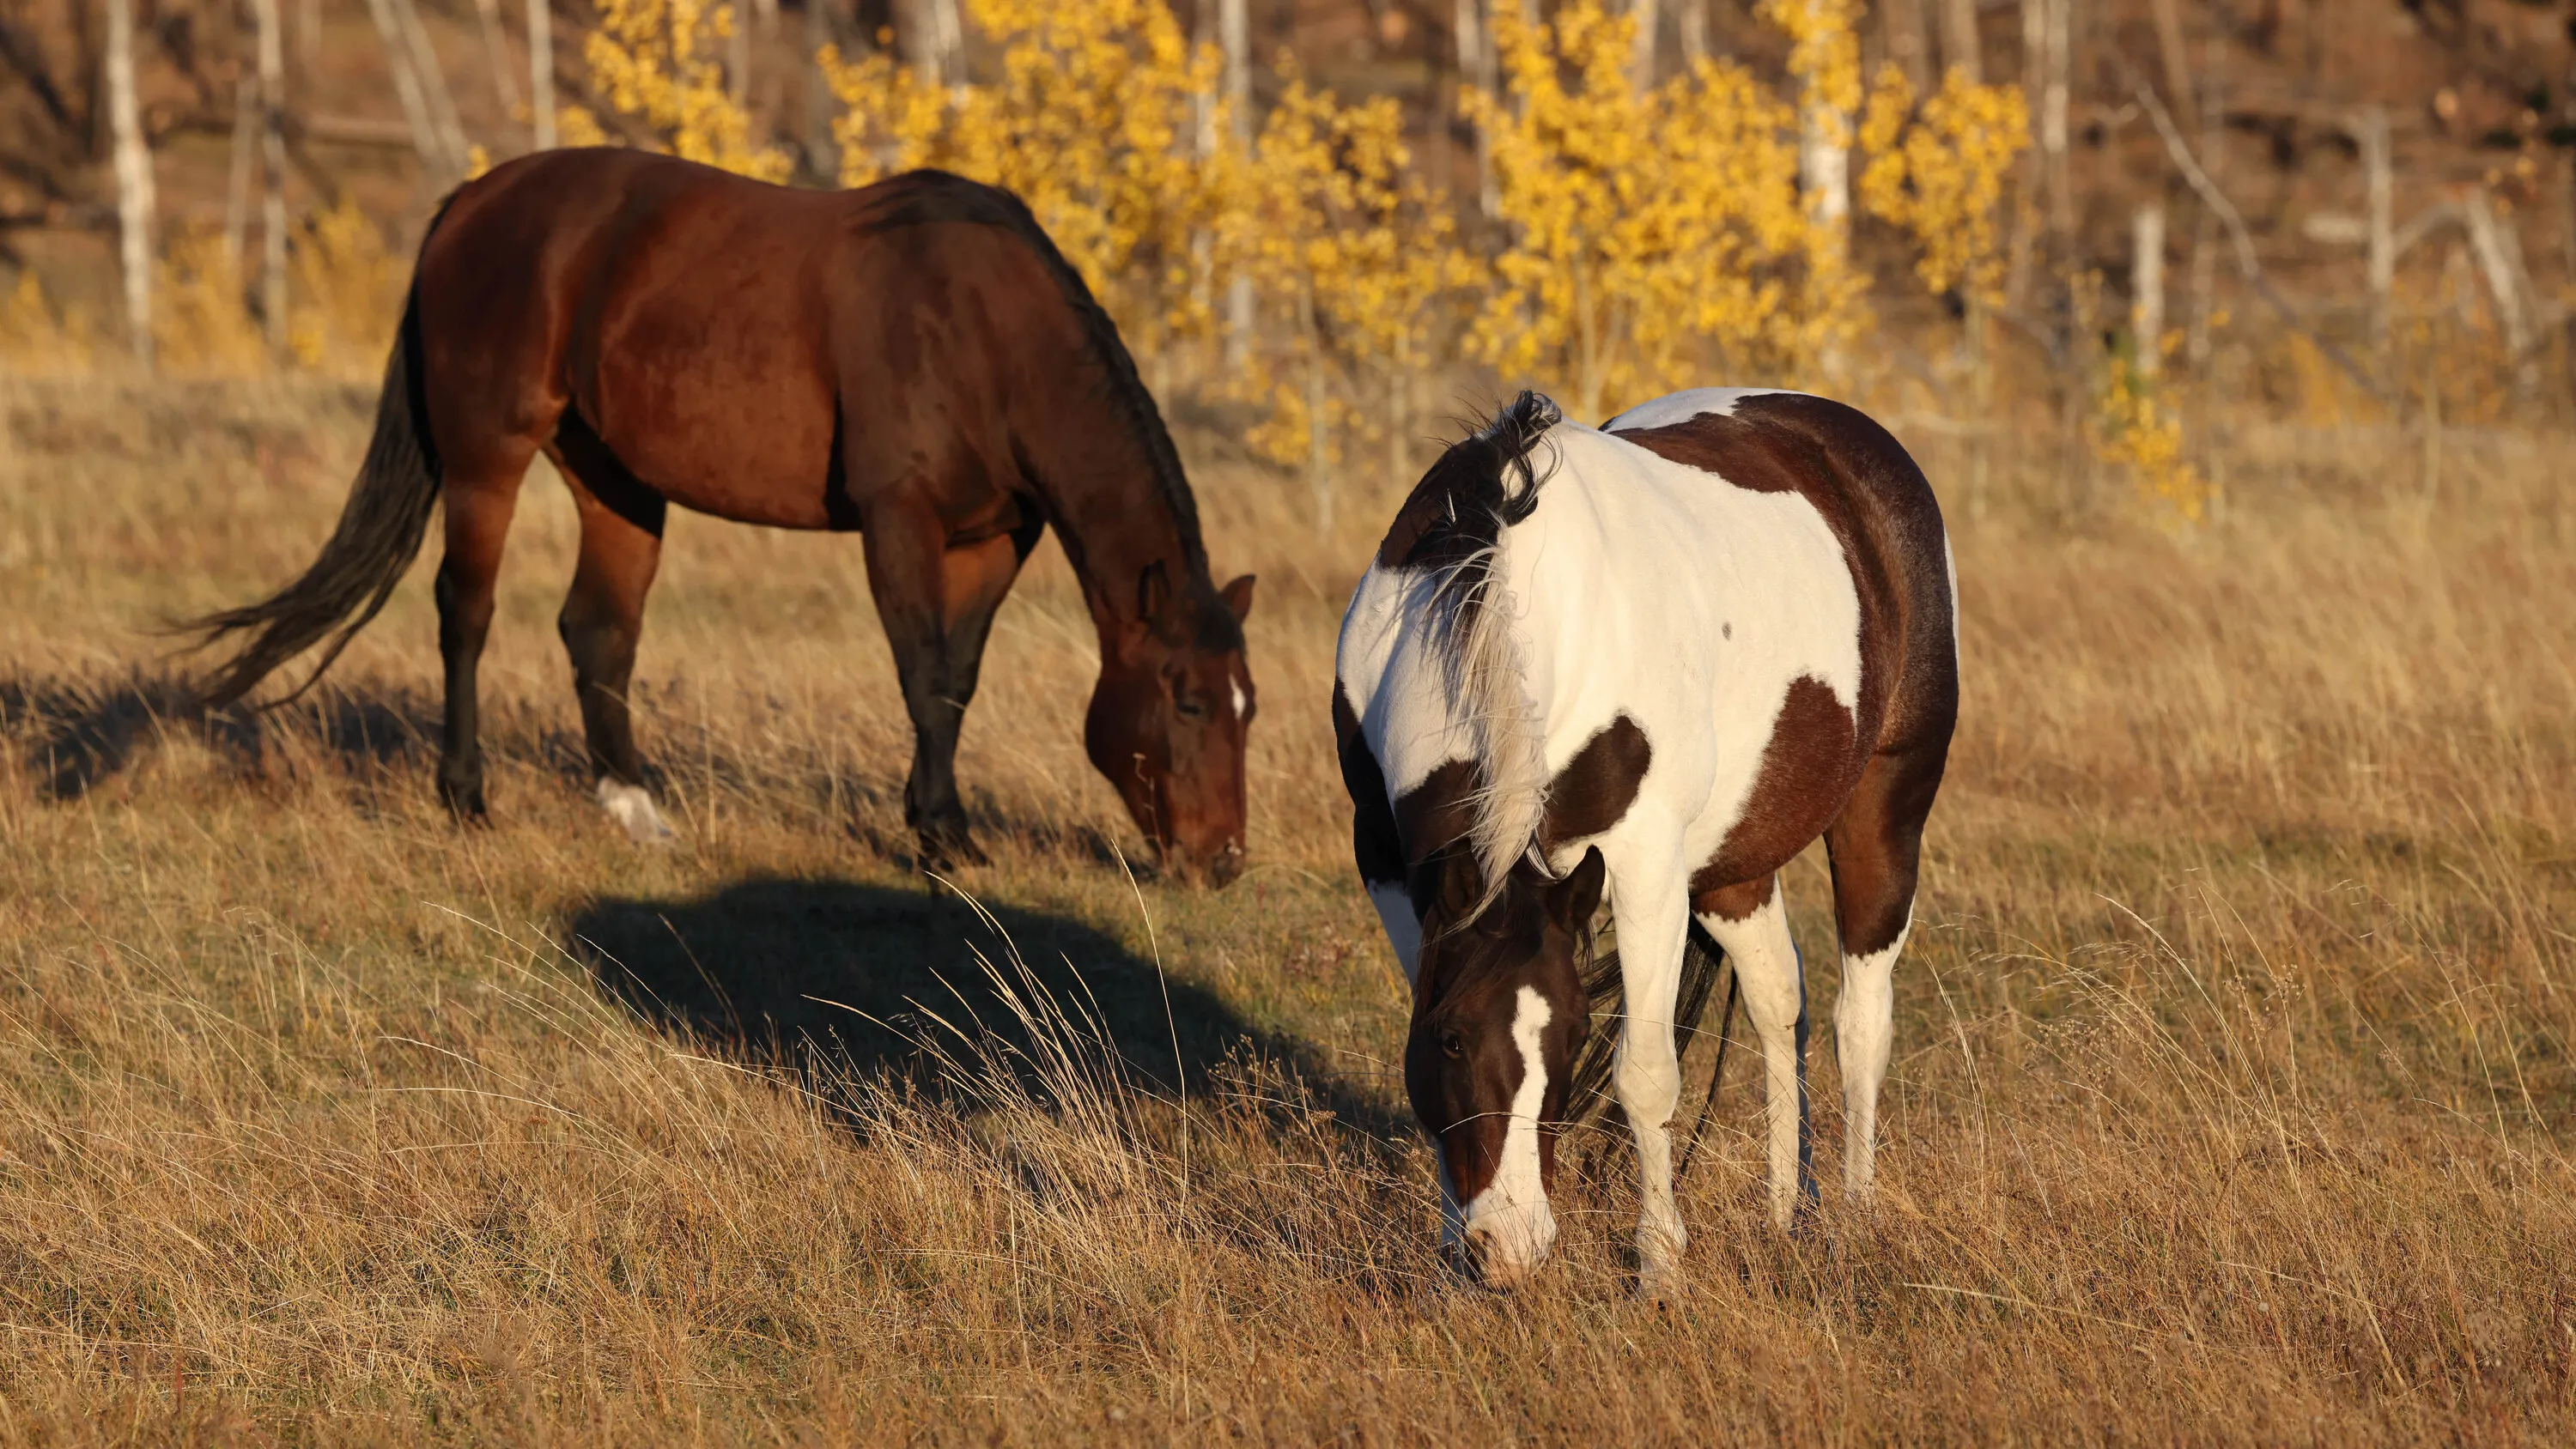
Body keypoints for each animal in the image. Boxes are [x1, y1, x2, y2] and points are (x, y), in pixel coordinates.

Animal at [186, 150, 1257, 884]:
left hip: (614, 477)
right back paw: (467, 797)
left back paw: (637, 810)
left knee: (598, 631)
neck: (980, 327)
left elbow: (955, 682)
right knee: (467, 614)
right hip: (487, 457)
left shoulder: (996, 537)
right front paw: (942, 836)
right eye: (1189, 701)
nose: (1221, 860)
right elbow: (920, 673)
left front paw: (936, 821)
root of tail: (471, 201)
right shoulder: (897, 518)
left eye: (1248, 704)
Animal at [1333, 387, 1956, 1290]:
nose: (1510, 1248)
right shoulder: (1386, 860)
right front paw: (1453, 1247)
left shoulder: (1643, 862)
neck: (1497, 601)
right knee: (1780, 1000)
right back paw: (1785, 1214)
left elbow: (1647, 1076)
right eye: (1452, 1038)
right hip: (1733, 864)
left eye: (1573, 1037)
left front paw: (1659, 1267)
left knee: (1860, 1024)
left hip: (1885, 806)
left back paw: (1852, 1220)